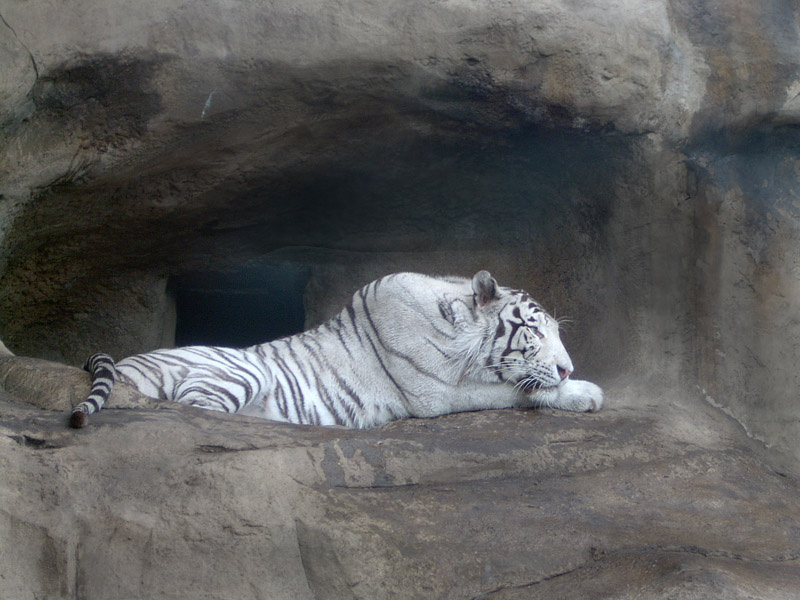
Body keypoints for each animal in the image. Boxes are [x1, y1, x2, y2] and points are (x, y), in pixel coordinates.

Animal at [69, 270, 603, 429]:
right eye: (534, 330)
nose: (567, 365)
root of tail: (126, 360)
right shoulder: (435, 394)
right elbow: (517, 391)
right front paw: (585, 392)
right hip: (238, 372)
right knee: (194, 407)